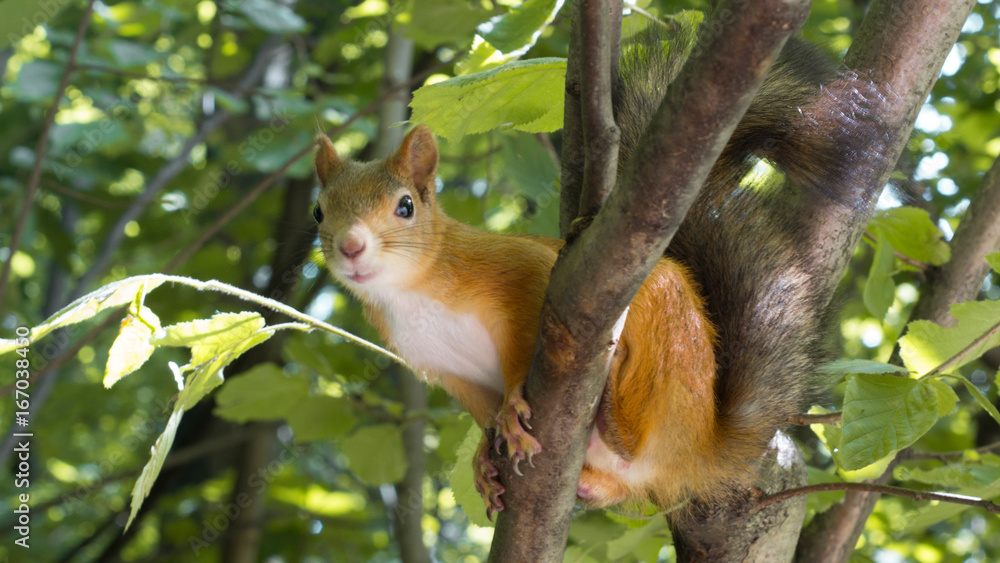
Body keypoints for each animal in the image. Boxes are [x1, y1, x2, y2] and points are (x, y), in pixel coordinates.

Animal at [312, 31, 889, 520]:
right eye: (318, 211)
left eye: (405, 206)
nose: (350, 247)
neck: (411, 294)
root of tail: (701, 447)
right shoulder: (440, 366)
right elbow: (479, 408)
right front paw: (483, 456)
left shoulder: (519, 271)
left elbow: (524, 339)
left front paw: (515, 406)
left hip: (666, 337)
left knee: (633, 439)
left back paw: (612, 411)